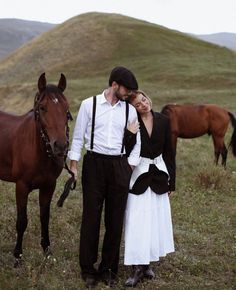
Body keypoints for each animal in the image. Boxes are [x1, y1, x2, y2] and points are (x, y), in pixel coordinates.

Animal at [0, 72, 73, 266]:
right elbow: (21, 221)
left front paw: (47, 252)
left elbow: (44, 218)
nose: (60, 146)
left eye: (66, 108)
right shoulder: (21, 186)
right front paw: (17, 256)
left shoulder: (49, 186)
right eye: (42, 107)